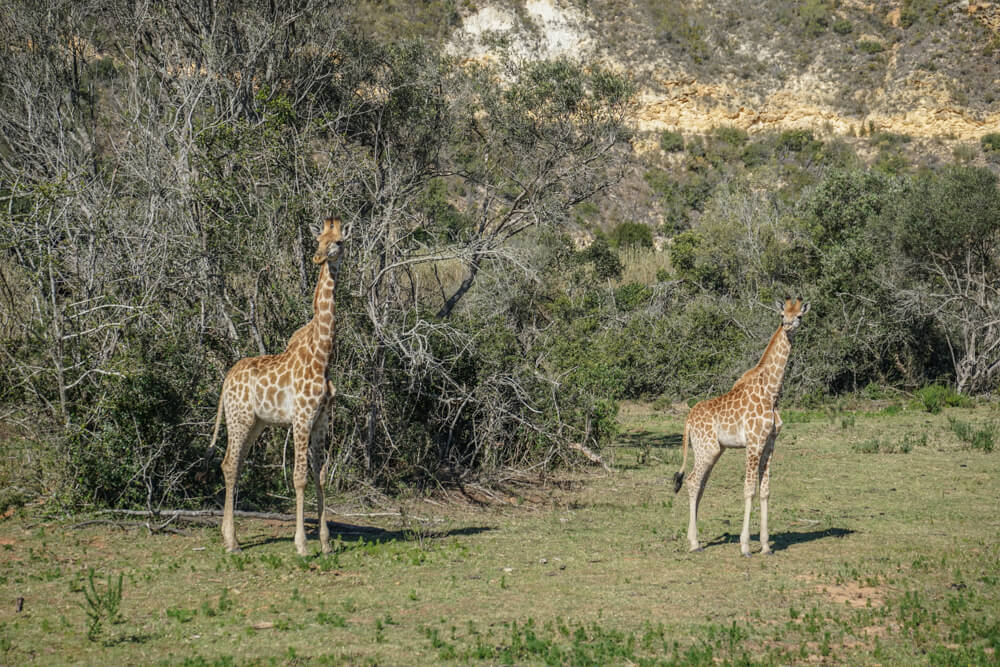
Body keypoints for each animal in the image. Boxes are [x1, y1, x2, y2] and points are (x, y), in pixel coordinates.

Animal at [207, 217, 344, 556]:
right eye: (319, 240)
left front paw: (326, 543)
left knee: (233, 465)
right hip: (239, 418)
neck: (323, 356)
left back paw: (229, 538)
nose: (318, 258)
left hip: (255, 422)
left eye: (339, 242)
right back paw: (232, 542)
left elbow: (321, 477)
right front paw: (302, 545)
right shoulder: (301, 418)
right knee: (229, 464)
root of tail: (226, 379)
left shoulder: (321, 420)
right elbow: (299, 478)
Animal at [668, 298, 808, 560]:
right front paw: (745, 547)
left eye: (799, 316)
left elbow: (765, 490)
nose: (787, 324)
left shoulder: (769, 443)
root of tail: (688, 419)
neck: (771, 393)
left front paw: (765, 546)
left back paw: (694, 539)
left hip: (713, 450)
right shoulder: (753, 442)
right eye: (782, 314)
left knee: (700, 485)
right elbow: (749, 490)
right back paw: (695, 543)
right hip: (707, 449)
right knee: (692, 481)